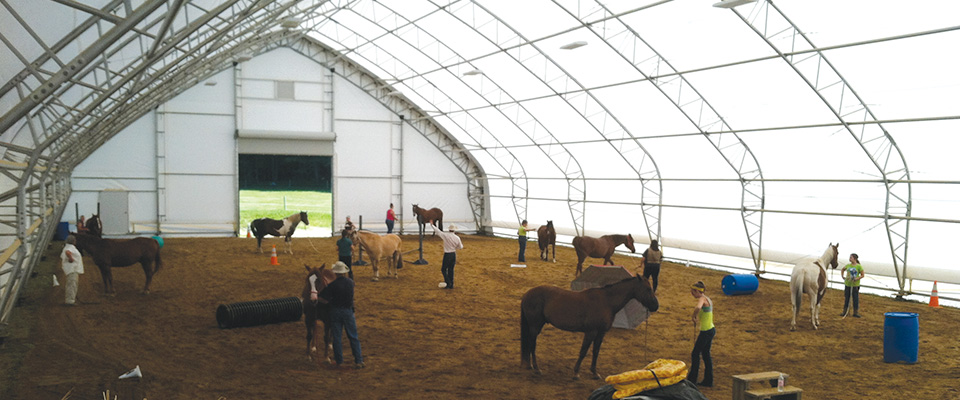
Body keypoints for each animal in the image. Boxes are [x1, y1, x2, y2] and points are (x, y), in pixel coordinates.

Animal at [516, 276, 660, 380]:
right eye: (648, 289)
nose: (656, 306)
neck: (607, 302)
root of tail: (528, 293)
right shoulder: (591, 332)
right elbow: (583, 351)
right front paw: (576, 373)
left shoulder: (601, 333)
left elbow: (596, 352)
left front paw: (595, 373)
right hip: (535, 326)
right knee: (532, 344)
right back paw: (536, 368)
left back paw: (530, 365)